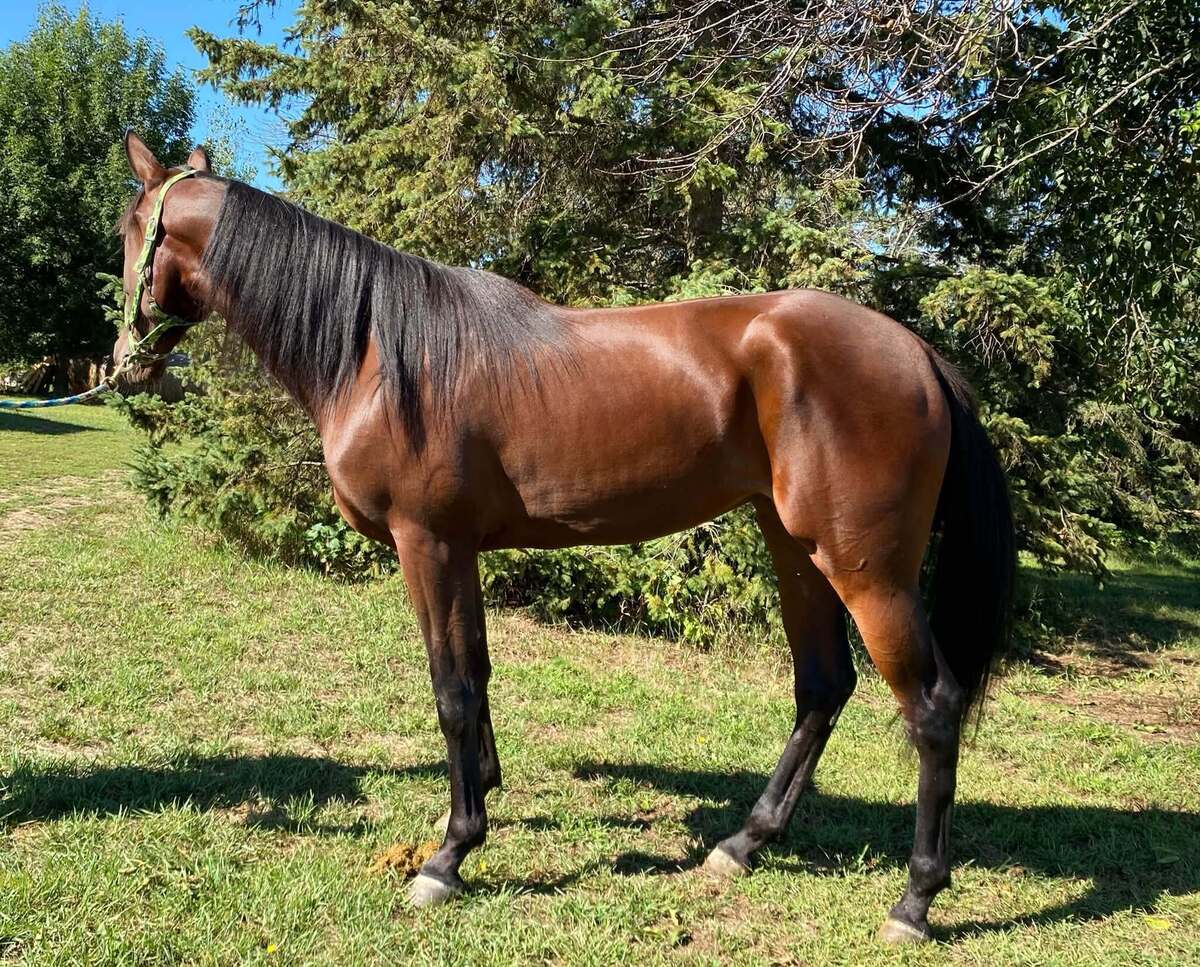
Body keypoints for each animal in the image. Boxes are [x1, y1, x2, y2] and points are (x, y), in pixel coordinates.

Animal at [114, 131, 1015, 944]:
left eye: (131, 231)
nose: (128, 363)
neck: (381, 351)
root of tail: (920, 354)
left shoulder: (428, 543)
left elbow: (451, 689)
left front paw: (449, 855)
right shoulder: (460, 550)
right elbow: (476, 673)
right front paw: (482, 796)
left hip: (869, 572)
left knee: (931, 708)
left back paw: (914, 901)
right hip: (797, 549)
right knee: (823, 687)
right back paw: (743, 844)